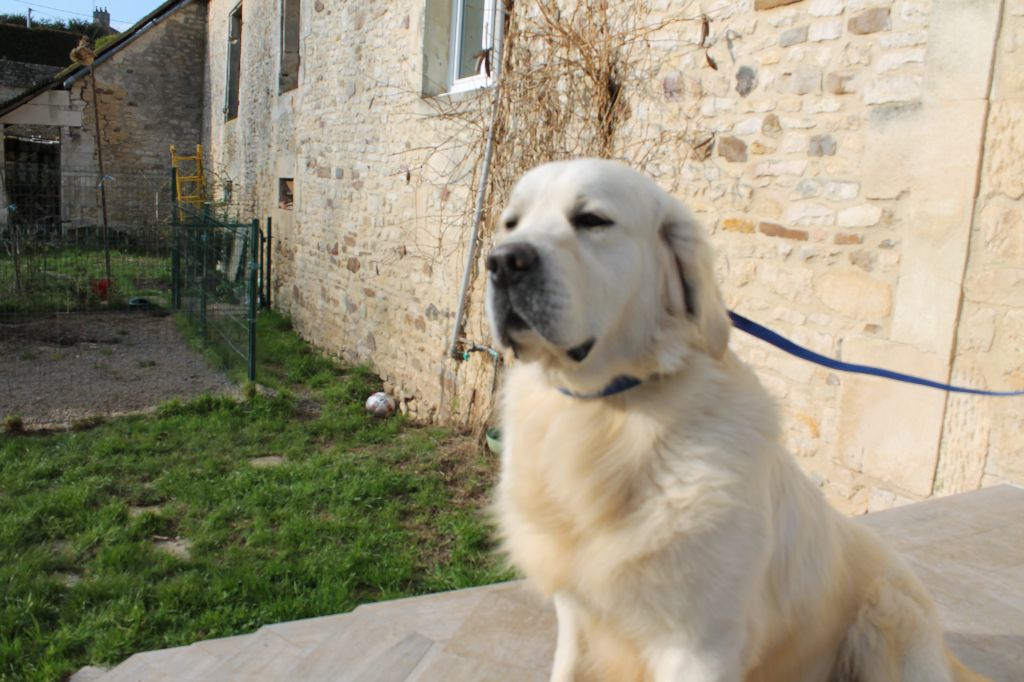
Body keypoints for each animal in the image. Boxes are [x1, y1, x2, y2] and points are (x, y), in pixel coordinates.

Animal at [483, 160, 987, 679]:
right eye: (511, 224)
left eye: (592, 220)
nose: (501, 262)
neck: (605, 412)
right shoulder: (578, 619)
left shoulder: (700, 645)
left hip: (888, 616)